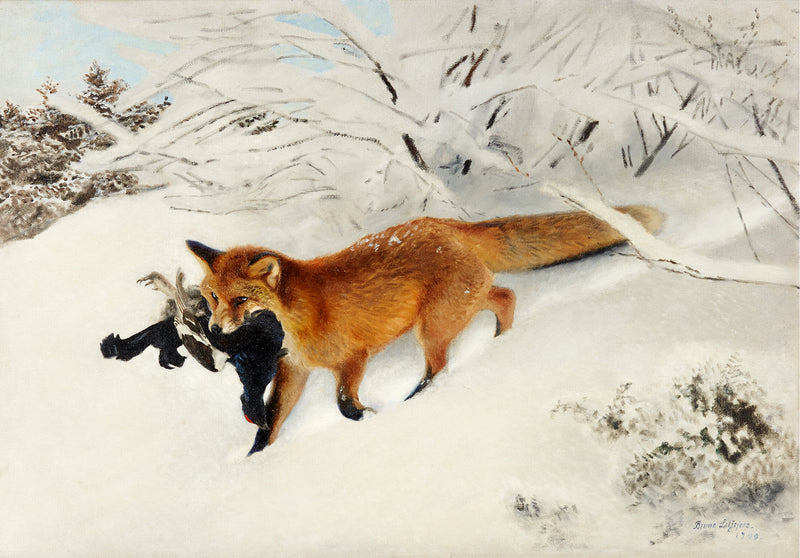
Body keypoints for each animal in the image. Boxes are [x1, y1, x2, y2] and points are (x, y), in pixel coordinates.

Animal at [187, 204, 663, 447]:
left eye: (240, 300)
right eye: (212, 297)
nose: (216, 330)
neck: (298, 315)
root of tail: (446, 224)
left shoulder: (353, 358)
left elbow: (343, 404)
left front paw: (370, 417)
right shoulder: (294, 368)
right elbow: (270, 422)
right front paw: (254, 460)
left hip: (432, 326)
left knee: (441, 366)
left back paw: (418, 399)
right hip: (459, 306)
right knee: (505, 296)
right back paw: (500, 342)